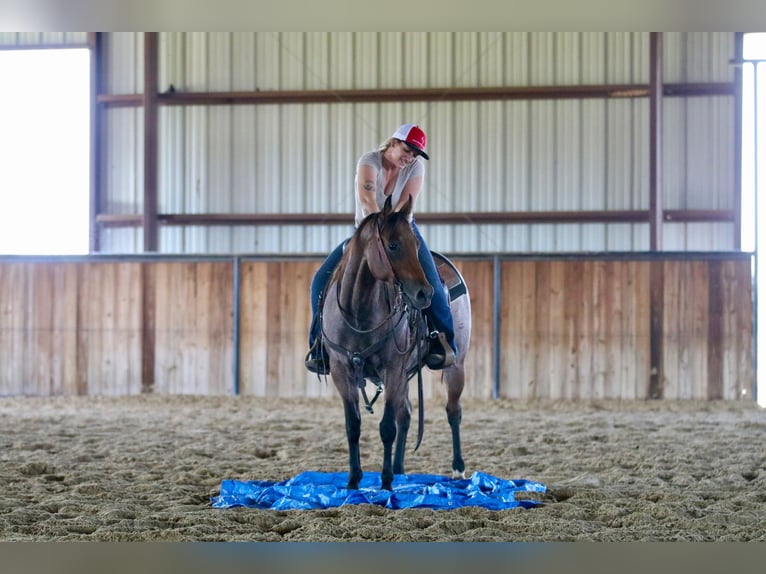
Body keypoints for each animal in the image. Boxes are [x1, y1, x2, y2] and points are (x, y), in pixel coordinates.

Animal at [318, 194, 472, 491]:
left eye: (416, 245)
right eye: (393, 245)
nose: (425, 293)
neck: (359, 311)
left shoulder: (393, 368)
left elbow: (387, 427)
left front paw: (386, 483)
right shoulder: (342, 370)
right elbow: (353, 425)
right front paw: (353, 481)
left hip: (455, 365)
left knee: (453, 411)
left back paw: (457, 468)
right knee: (407, 414)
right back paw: (400, 469)